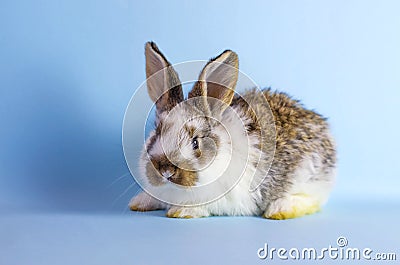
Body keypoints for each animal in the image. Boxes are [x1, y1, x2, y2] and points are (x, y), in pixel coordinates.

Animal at [130, 41, 336, 219]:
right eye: (157, 133)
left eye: (195, 142)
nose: (165, 171)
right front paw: (138, 202)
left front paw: (182, 211)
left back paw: (280, 209)